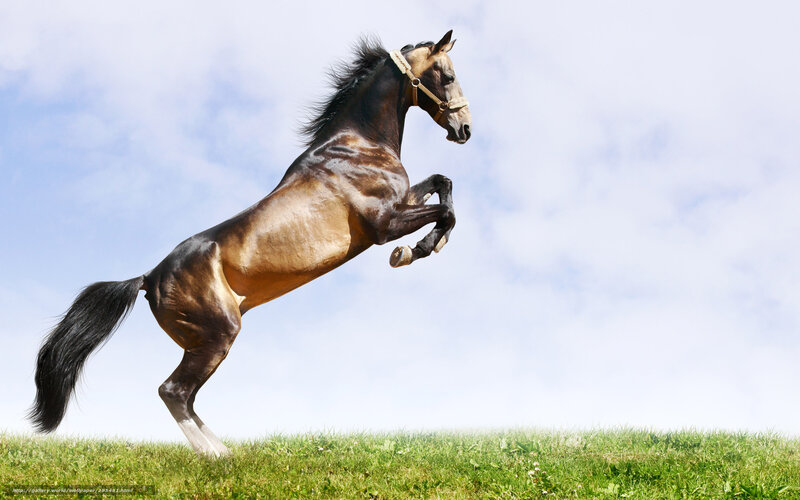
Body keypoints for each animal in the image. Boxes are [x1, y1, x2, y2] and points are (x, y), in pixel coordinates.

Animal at [30, 30, 471, 457]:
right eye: (448, 76)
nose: (465, 129)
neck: (358, 145)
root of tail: (148, 278)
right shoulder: (383, 224)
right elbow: (445, 212)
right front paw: (413, 251)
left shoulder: (403, 201)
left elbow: (443, 184)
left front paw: (427, 244)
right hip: (218, 335)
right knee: (173, 391)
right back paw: (214, 455)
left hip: (201, 342)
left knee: (186, 396)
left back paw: (226, 451)